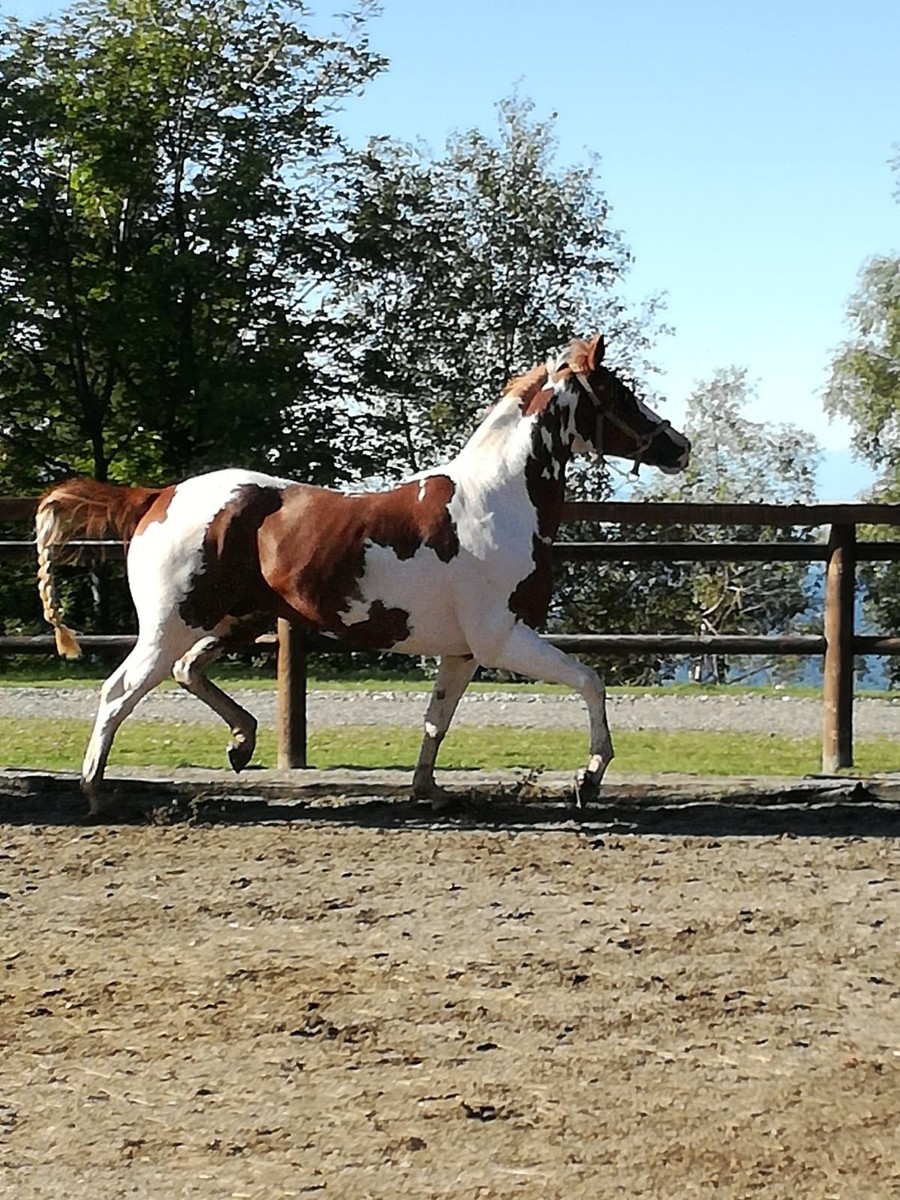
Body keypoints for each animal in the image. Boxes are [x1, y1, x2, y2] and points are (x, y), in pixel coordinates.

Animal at [33, 333, 691, 811]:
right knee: (119, 691)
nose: (679, 447)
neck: (498, 502)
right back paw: (96, 791)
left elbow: (436, 719)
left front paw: (427, 792)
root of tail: (157, 497)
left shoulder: (463, 651)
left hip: (235, 621)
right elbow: (590, 681)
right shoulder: (502, 638)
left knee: (187, 672)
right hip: (171, 626)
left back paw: (241, 742)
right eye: (620, 392)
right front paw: (589, 778)